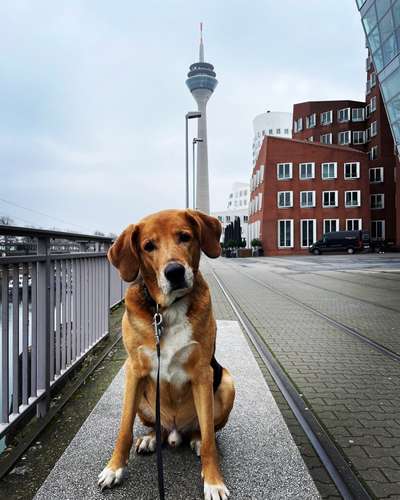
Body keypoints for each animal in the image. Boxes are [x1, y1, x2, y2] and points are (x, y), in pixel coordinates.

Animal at [99, 209, 236, 498]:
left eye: (184, 237)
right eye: (148, 246)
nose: (174, 272)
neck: (166, 311)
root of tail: (175, 432)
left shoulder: (203, 374)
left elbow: (210, 439)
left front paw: (213, 481)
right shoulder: (134, 371)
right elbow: (124, 429)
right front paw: (114, 468)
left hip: (227, 383)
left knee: (203, 430)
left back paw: (195, 440)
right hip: (143, 400)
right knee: (157, 428)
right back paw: (151, 438)